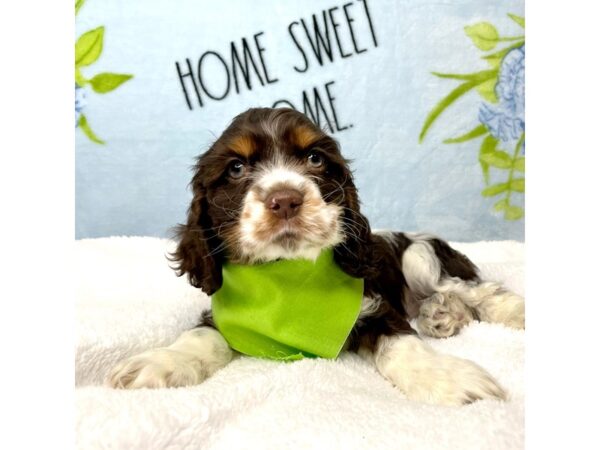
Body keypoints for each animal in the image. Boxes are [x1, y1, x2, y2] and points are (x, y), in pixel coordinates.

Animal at [109, 107, 524, 406]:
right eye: (236, 167)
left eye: (314, 159)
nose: (285, 199)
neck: (286, 275)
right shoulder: (226, 315)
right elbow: (197, 337)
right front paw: (159, 362)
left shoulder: (374, 306)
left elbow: (402, 345)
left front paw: (449, 378)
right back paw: (443, 315)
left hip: (420, 256)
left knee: (475, 289)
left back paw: (501, 312)